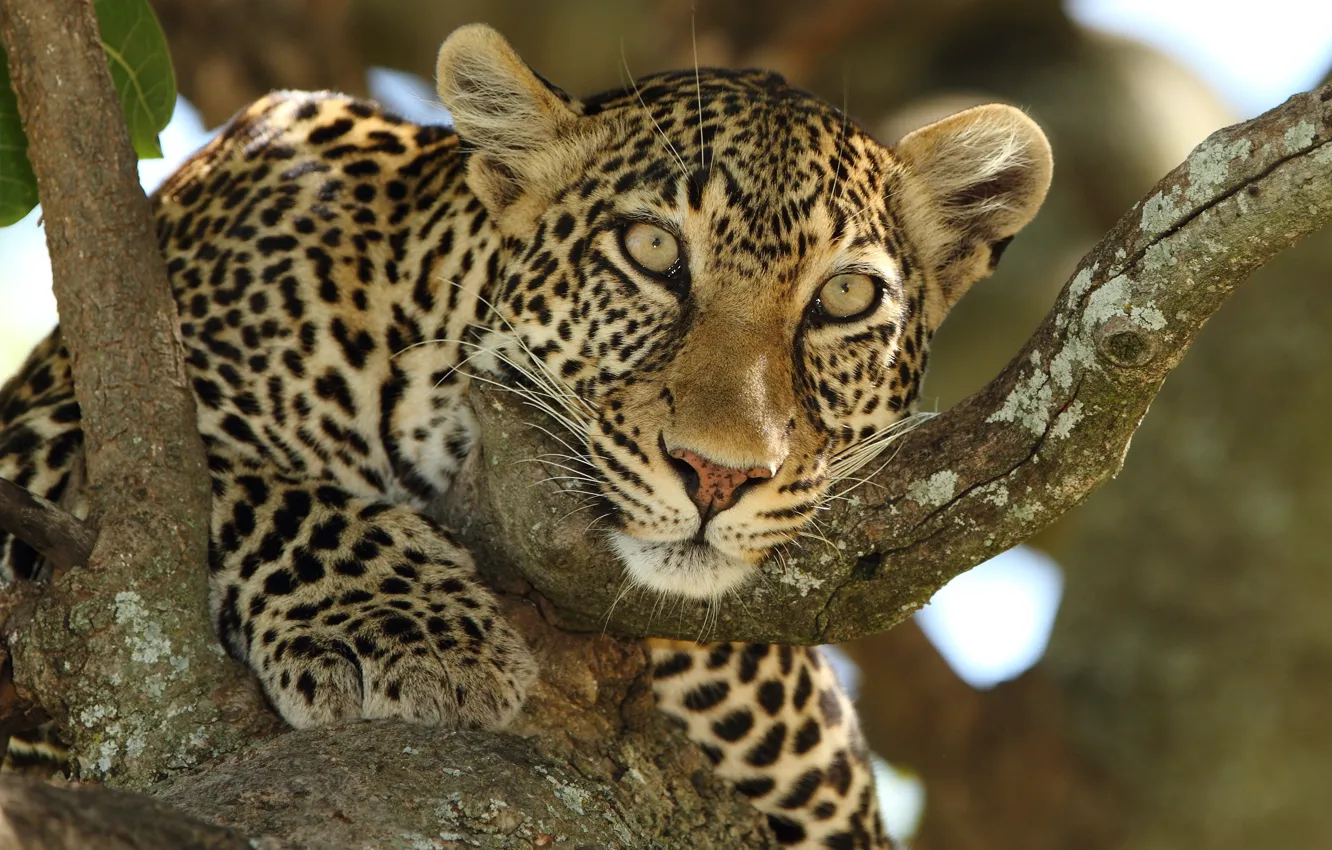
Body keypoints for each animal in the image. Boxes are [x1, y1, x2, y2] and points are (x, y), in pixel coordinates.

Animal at [0, 23, 1051, 847]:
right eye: (652, 251)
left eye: (845, 298)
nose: (716, 476)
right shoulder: (46, 427)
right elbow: (238, 478)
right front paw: (404, 632)